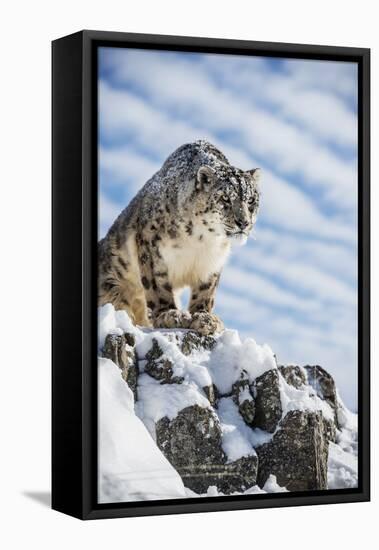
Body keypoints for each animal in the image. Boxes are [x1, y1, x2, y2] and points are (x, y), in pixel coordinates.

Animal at [98, 139, 262, 336]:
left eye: (251, 200)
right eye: (225, 198)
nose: (243, 222)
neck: (201, 241)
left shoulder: (212, 262)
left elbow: (206, 291)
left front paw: (205, 318)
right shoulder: (151, 247)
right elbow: (157, 285)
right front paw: (169, 314)